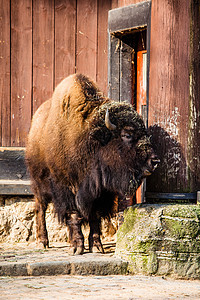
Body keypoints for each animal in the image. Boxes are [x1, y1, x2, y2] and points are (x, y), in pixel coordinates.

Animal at [25, 74, 159, 254]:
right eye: (127, 134)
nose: (155, 161)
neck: (91, 139)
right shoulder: (67, 187)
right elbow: (73, 215)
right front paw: (77, 247)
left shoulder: (100, 191)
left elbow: (95, 216)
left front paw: (96, 246)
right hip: (39, 182)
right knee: (40, 207)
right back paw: (42, 241)